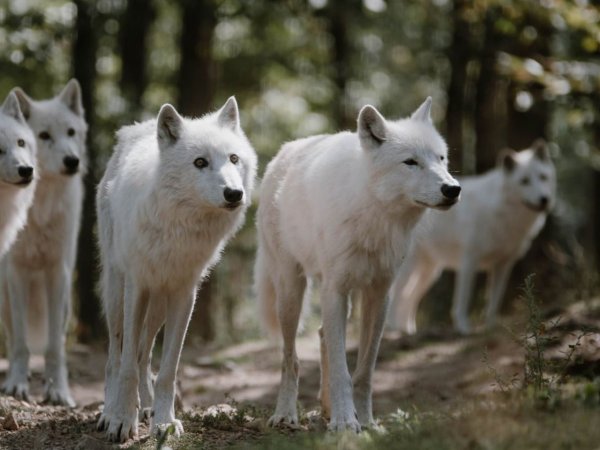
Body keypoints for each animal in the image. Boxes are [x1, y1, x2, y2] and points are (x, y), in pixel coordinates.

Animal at [0, 79, 86, 406]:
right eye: (45, 135)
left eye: (71, 132)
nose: (72, 161)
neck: (41, 208)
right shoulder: (17, 273)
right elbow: (22, 345)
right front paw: (16, 386)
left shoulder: (57, 273)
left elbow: (54, 348)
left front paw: (58, 391)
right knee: (14, 339)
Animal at [96, 96, 258, 442]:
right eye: (200, 162)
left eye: (233, 158)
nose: (234, 194)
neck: (179, 227)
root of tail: (136, 128)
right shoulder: (137, 286)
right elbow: (126, 367)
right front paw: (122, 421)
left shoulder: (185, 294)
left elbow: (167, 370)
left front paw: (164, 423)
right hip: (117, 293)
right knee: (116, 358)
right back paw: (108, 411)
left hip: (159, 305)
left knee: (143, 355)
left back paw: (146, 409)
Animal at [255, 96, 462, 430]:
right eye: (410, 162)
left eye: (441, 158)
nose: (452, 189)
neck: (375, 215)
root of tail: (283, 152)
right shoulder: (336, 290)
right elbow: (343, 370)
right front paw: (344, 422)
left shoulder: (379, 294)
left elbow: (364, 371)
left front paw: (365, 421)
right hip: (292, 292)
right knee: (291, 358)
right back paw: (286, 414)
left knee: (322, 335)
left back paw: (326, 408)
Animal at [390, 140, 556, 334]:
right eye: (524, 181)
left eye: (543, 177)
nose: (544, 199)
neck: (503, 212)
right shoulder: (469, 262)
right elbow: (464, 299)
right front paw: (464, 328)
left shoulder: (503, 265)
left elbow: (495, 300)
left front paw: (491, 326)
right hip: (409, 269)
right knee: (397, 296)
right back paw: (395, 331)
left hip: (429, 272)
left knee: (408, 299)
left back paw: (408, 331)